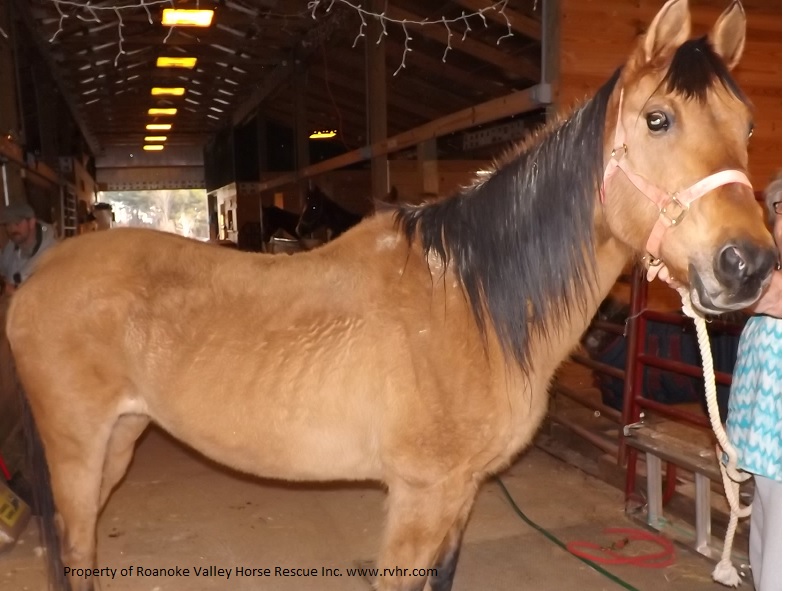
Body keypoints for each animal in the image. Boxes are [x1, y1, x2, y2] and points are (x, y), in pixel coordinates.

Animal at [5, 2, 777, 590]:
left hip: (121, 438)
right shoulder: (419, 497)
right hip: (78, 449)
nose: (747, 264)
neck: (470, 303)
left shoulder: (459, 494)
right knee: (75, 549)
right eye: (657, 119)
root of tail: (37, 281)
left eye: (745, 126)